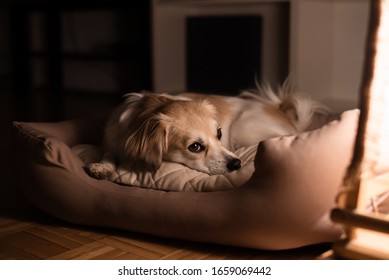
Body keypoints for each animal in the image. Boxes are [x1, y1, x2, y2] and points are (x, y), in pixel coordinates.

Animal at [88, 82, 328, 178]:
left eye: (219, 134)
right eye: (195, 147)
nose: (237, 164)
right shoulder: (111, 140)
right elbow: (107, 152)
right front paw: (102, 166)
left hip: (244, 127)